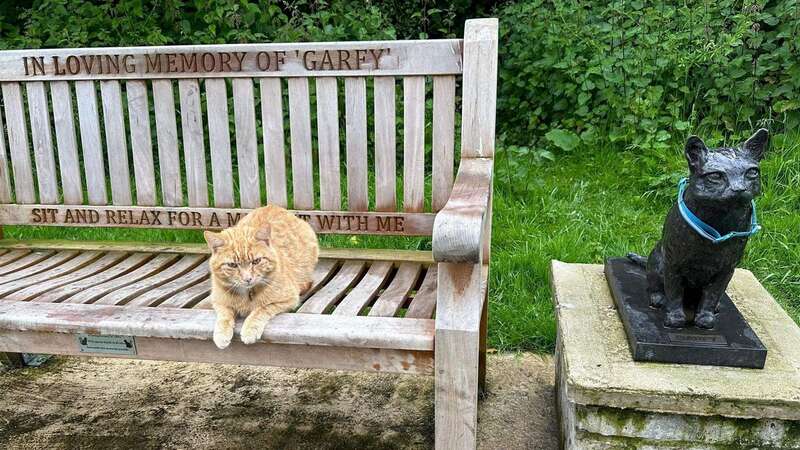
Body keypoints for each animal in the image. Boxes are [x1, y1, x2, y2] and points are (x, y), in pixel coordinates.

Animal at [203, 204, 318, 348]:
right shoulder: (219, 301)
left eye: (256, 261)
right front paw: (221, 334)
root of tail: (274, 205)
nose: (248, 279)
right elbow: (224, 316)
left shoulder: (288, 300)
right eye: (232, 265)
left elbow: (261, 309)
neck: (246, 295)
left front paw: (250, 330)